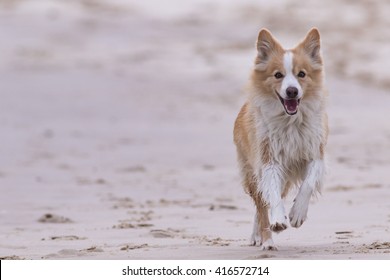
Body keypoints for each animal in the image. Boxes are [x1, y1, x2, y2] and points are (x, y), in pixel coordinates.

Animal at [233, 28, 328, 250]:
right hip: (251, 170)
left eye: (302, 74)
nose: (292, 91)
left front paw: (297, 214)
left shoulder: (315, 154)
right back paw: (266, 240)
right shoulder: (269, 160)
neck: (290, 121)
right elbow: (272, 196)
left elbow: (308, 184)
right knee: (261, 204)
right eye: (278, 75)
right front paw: (278, 220)